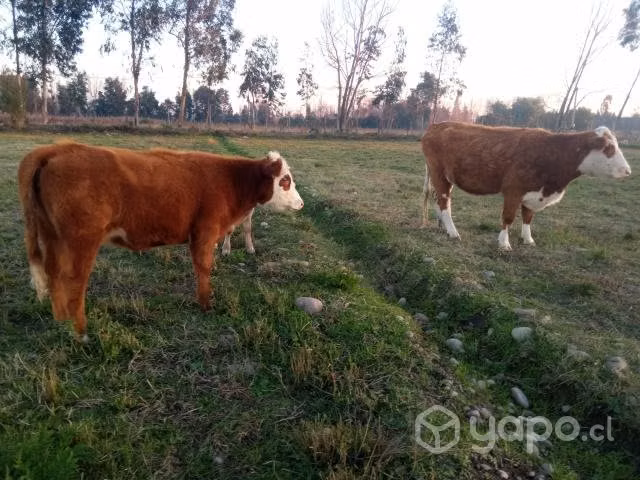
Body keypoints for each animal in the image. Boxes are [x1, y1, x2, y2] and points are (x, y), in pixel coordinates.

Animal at [18, 143, 304, 342]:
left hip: (52, 238)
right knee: (74, 285)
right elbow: (203, 268)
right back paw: (81, 334)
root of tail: (57, 148)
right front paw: (206, 305)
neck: (230, 180)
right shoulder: (205, 231)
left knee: (54, 278)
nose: (301, 204)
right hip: (80, 243)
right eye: (285, 181)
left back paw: (62, 324)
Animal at [421, 122, 632, 250]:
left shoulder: (533, 193)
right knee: (444, 202)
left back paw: (442, 225)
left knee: (439, 199)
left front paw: (528, 239)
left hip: (443, 177)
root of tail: (437, 125)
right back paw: (452, 232)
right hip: (439, 173)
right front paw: (504, 243)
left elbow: (528, 217)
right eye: (608, 148)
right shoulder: (513, 190)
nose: (628, 170)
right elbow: (508, 217)